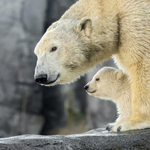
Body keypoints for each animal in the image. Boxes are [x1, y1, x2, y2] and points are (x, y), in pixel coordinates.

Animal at [34, 0, 150, 131]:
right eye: (36, 53)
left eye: (53, 48)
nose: (40, 76)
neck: (111, 7)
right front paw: (113, 124)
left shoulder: (136, 18)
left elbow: (142, 61)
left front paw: (131, 123)